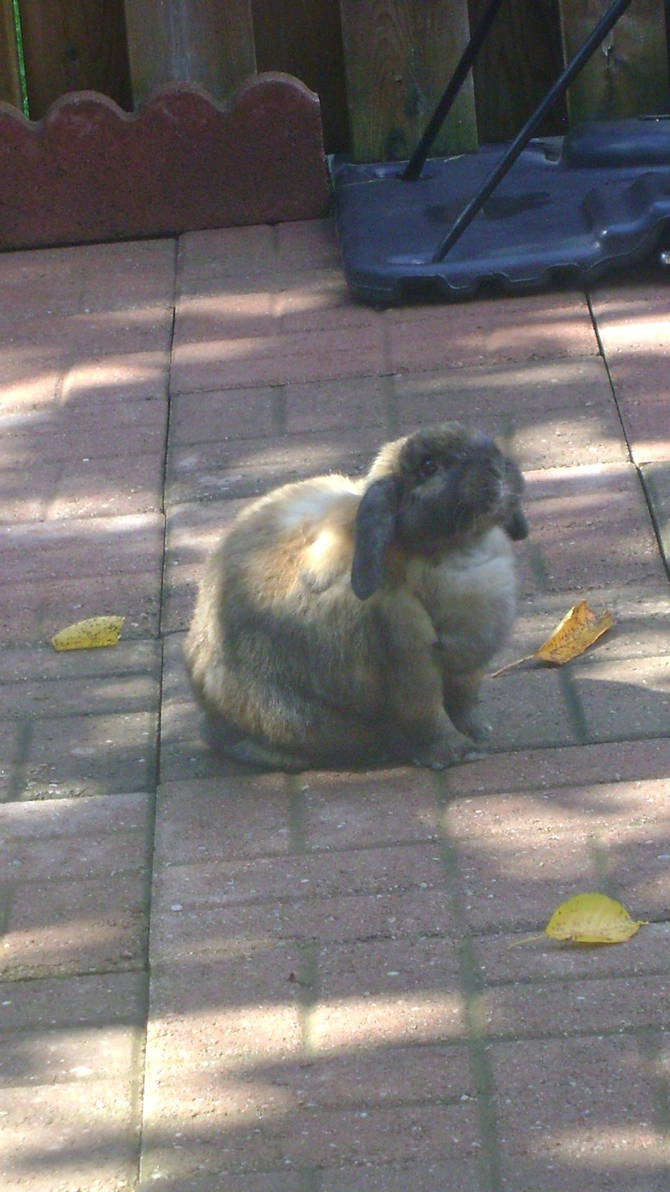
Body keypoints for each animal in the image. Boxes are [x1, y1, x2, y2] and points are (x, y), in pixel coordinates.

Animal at [184, 422, 528, 771]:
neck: (458, 549)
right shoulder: (410, 662)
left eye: (489, 444)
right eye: (428, 466)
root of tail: (207, 707)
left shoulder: (468, 668)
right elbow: (428, 715)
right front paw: (457, 752)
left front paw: (478, 733)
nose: (497, 466)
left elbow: (464, 704)